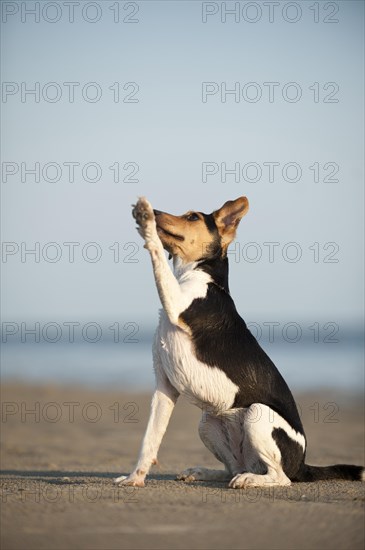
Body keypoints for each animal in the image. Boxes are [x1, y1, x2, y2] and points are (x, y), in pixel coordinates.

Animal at [114, 196, 364, 490]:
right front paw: (135, 478)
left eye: (192, 217)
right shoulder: (165, 386)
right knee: (232, 468)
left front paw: (145, 222)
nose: (155, 211)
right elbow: (149, 441)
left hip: (257, 414)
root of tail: (302, 465)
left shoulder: (175, 302)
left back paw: (248, 480)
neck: (201, 274)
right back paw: (203, 472)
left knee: (279, 478)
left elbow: (157, 260)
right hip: (208, 422)